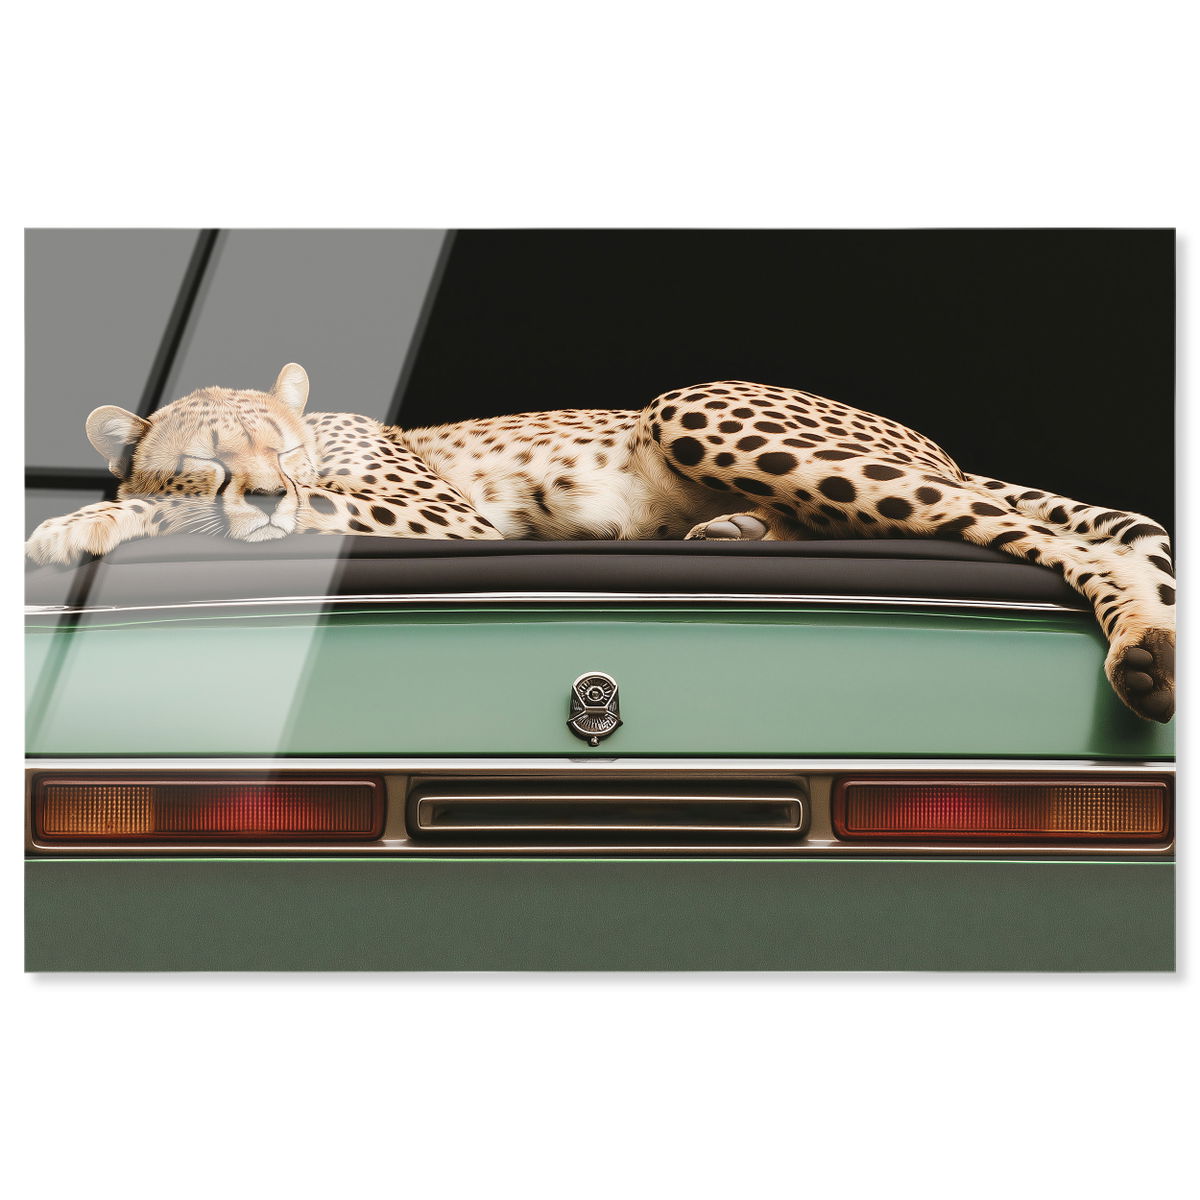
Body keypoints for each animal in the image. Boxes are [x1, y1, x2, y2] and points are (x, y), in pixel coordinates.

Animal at [26, 362, 1176, 722]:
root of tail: (939, 442)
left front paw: (78, 523)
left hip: (698, 407)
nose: (265, 496)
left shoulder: (446, 522)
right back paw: (731, 527)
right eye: (205, 456)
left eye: (289, 449)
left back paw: (1145, 651)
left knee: (1046, 532)